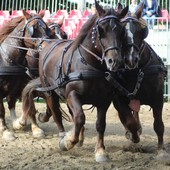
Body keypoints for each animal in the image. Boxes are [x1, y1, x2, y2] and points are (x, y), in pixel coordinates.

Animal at [0, 10, 52, 141]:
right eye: (33, 29)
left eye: (46, 29)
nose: (47, 47)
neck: (6, 60)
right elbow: (2, 110)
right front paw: (5, 130)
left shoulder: (17, 86)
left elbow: (18, 103)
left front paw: (19, 124)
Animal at [16, 0, 128, 162]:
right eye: (101, 29)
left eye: (121, 31)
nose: (114, 61)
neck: (90, 64)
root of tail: (48, 45)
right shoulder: (72, 94)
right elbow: (80, 117)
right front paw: (67, 142)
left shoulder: (104, 100)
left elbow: (100, 124)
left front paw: (100, 151)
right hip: (50, 92)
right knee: (56, 113)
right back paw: (63, 135)